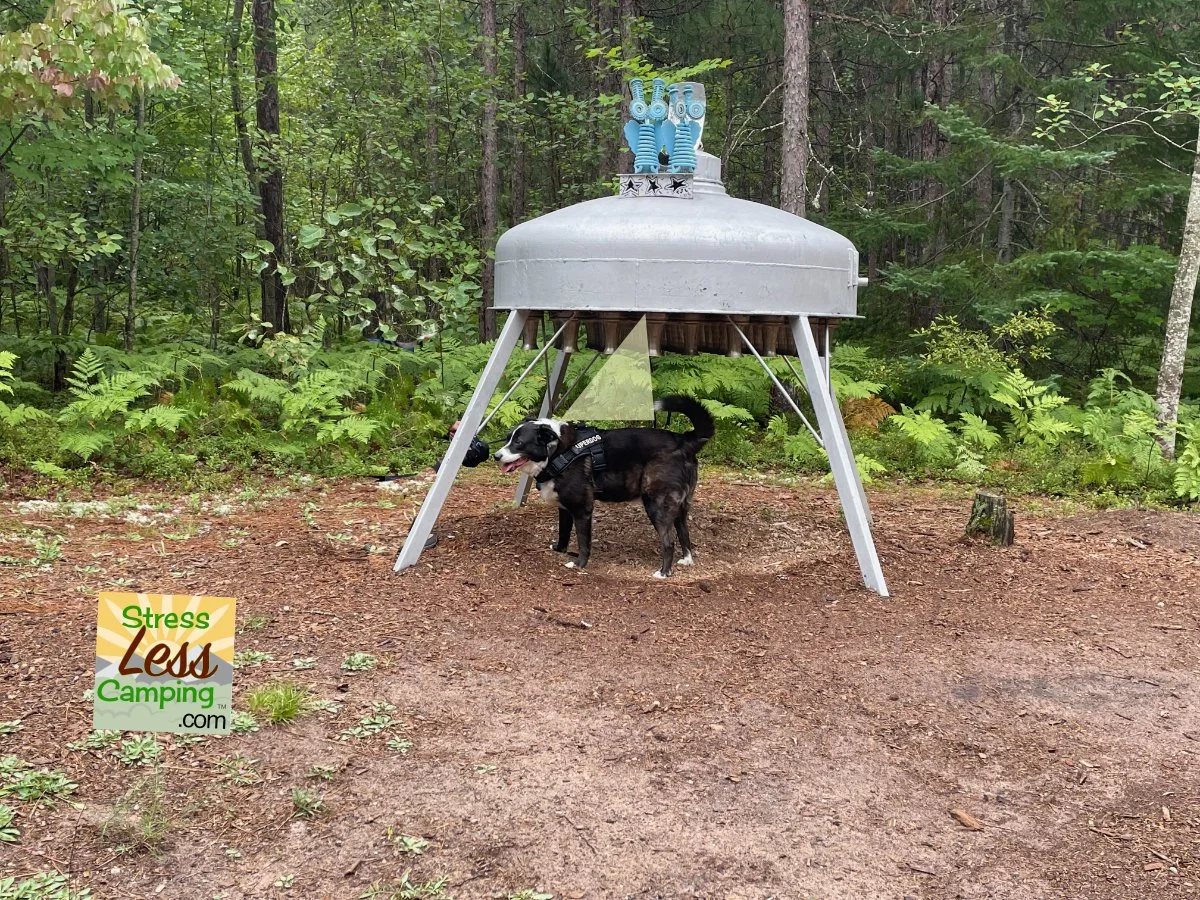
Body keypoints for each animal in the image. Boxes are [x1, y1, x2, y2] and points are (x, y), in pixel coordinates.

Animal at [493, 395, 714, 577]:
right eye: (508, 438)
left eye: (519, 443)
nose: (496, 456)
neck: (557, 451)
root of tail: (684, 441)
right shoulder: (565, 508)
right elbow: (564, 532)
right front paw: (560, 549)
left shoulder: (582, 509)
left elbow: (583, 541)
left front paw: (579, 564)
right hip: (679, 506)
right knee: (684, 533)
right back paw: (686, 559)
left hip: (657, 505)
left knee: (668, 542)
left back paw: (663, 573)